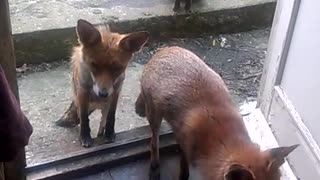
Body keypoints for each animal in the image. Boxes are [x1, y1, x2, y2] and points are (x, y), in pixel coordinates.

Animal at [55, 19, 149, 148]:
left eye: (117, 68)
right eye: (94, 65)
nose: (103, 94)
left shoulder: (115, 92)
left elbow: (111, 117)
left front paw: (109, 133)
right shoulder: (82, 91)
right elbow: (84, 118)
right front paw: (85, 137)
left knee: (102, 122)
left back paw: (101, 135)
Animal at [134, 46, 298, 180]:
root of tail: (164, 49)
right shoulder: (185, 147)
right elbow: (184, 170)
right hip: (155, 116)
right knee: (153, 142)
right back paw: (154, 167)